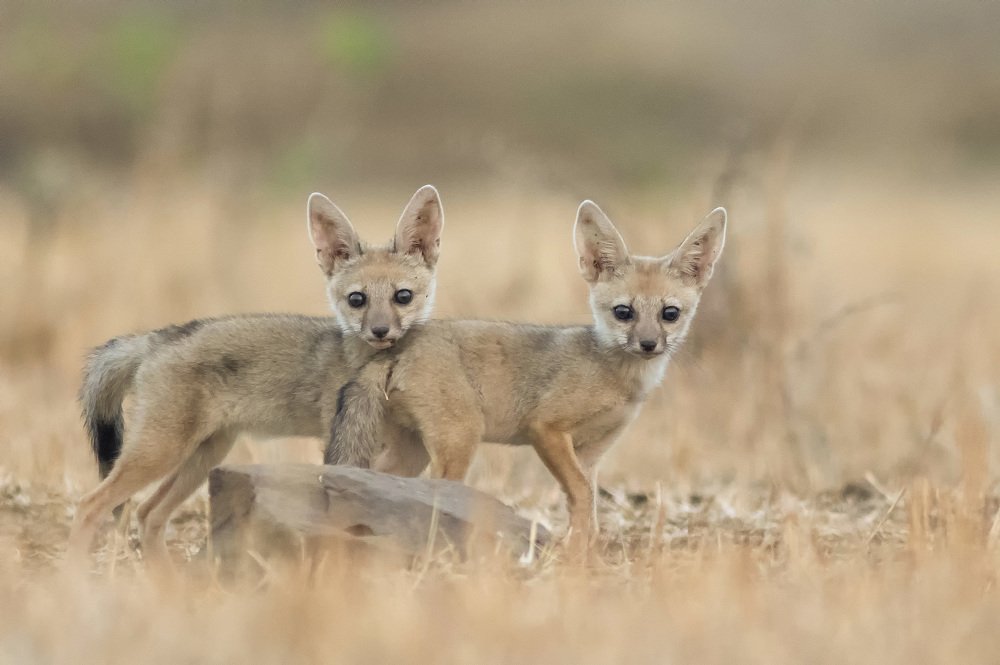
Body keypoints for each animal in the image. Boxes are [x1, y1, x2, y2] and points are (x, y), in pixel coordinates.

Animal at [68, 185, 445, 562]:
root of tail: (158, 337)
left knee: (148, 513)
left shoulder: (407, 454)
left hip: (203, 456)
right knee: (90, 505)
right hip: (160, 452)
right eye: (357, 299)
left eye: (403, 296)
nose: (380, 331)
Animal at [326, 201, 726, 546]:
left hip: (412, 453)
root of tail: (397, 348)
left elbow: (586, 505)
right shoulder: (546, 429)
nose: (648, 344)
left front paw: (583, 549)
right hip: (459, 442)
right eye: (623, 312)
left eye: (669, 314)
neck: (615, 376)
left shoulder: (590, 454)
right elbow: (582, 496)